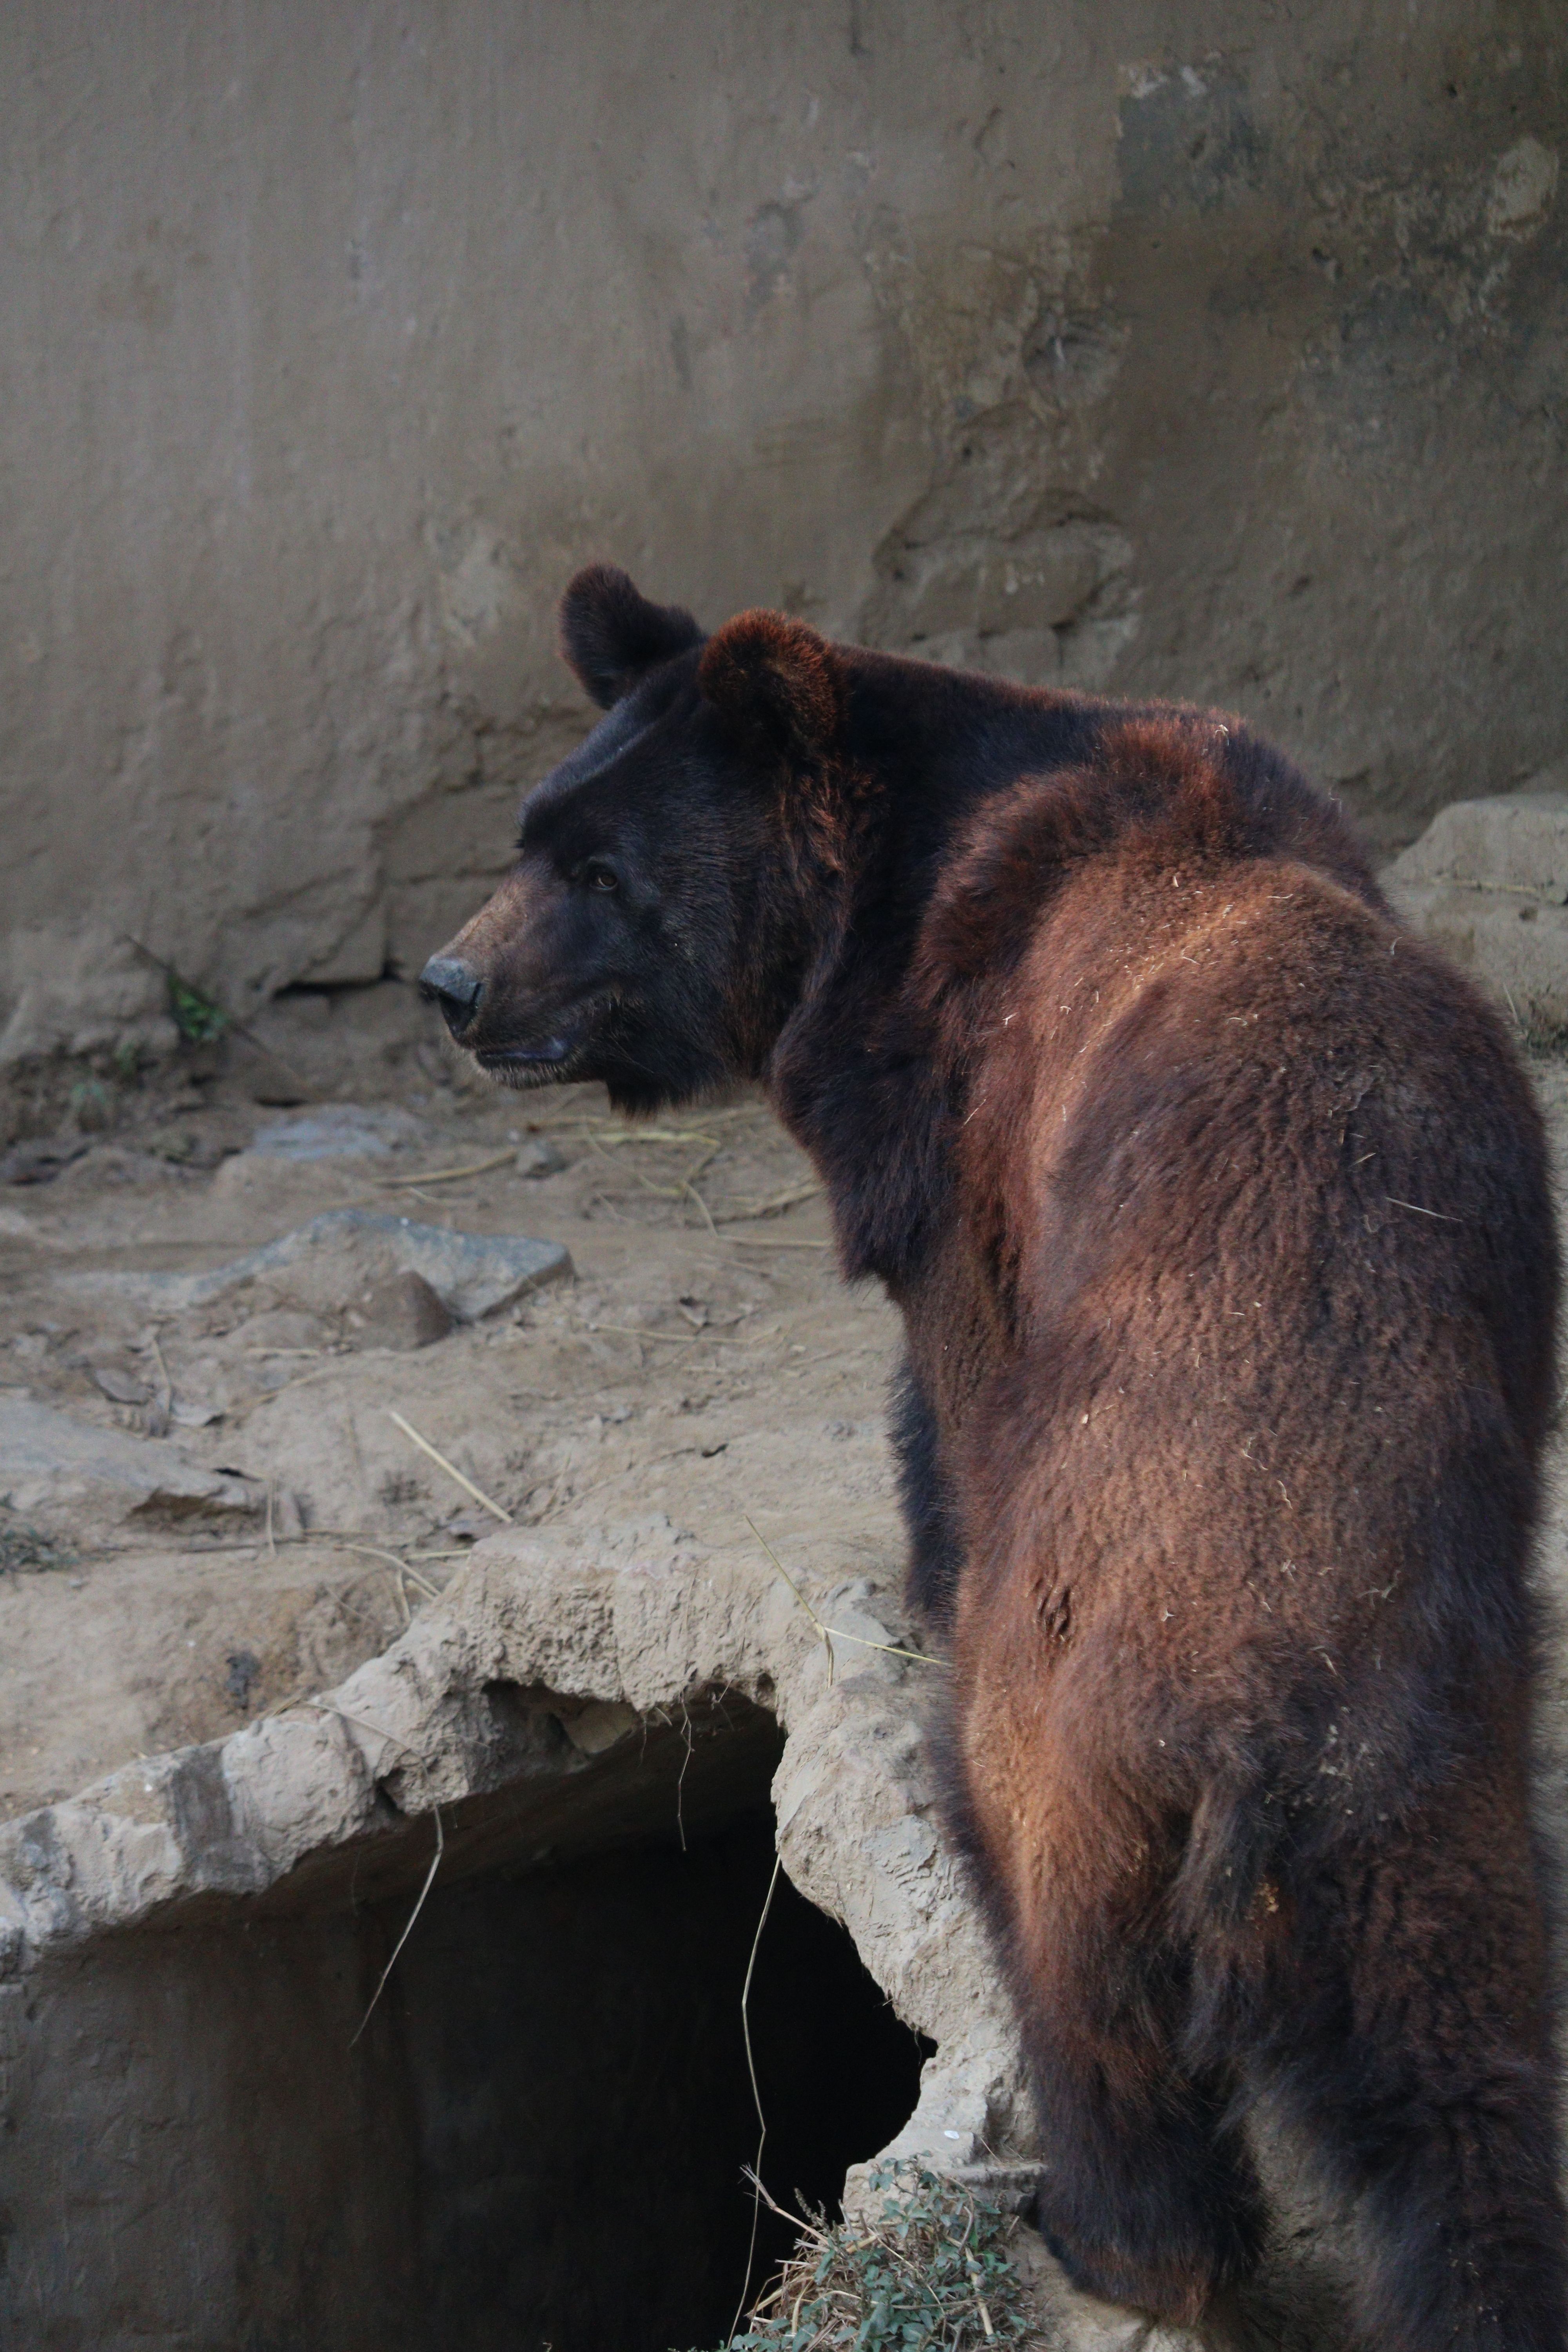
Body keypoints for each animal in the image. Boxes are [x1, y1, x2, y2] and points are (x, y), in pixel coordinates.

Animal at [421, 564, 1566, 2348]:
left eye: (599, 874)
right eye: (533, 835)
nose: (454, 985)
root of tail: (1254, 1731)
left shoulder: (968, 1116)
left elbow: (955, 1378)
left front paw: (920, 1558)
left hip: (1092, 1753)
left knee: (1065, 1961)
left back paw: (1110, 2232)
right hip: (1419, 1817)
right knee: (1464, 2091)